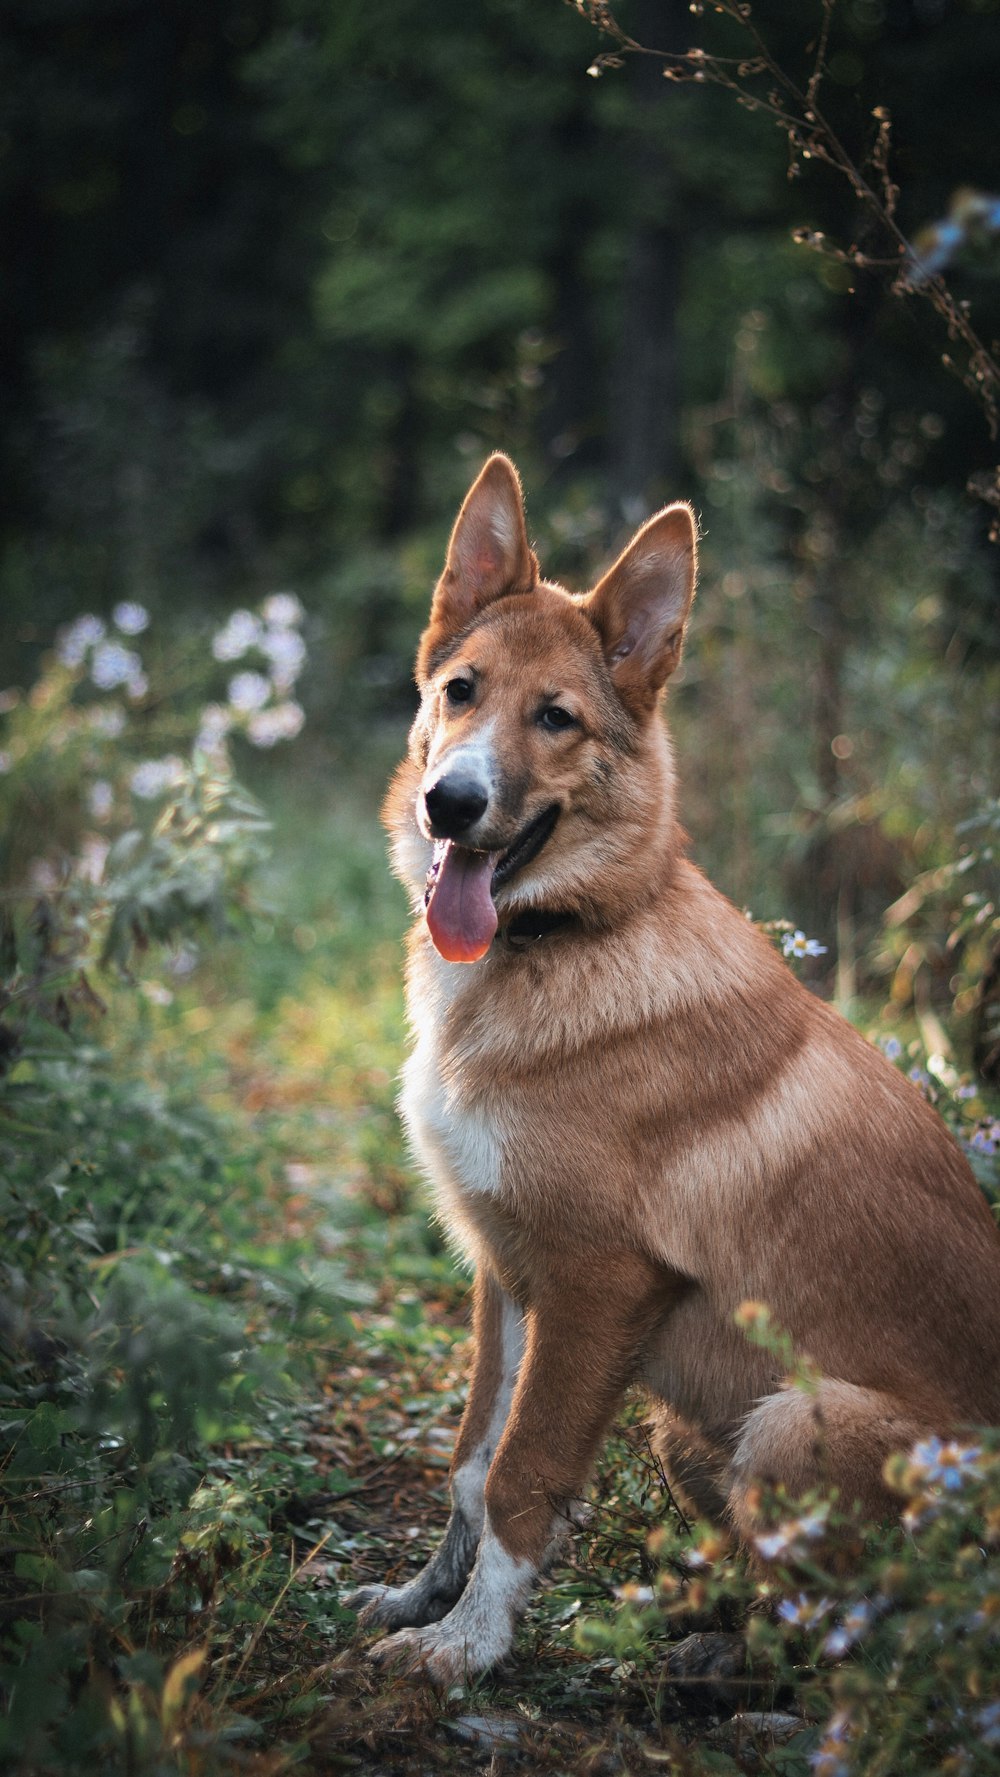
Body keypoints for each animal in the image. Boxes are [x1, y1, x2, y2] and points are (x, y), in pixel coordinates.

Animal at [349, 454, 1000, 1677]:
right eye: (459, 690)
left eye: (554, 718)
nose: (449, 803)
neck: (561, 942)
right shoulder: (509, 1272)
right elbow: (469, 1461)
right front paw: (424, 1599)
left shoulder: (598, 1282)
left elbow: (521, 1478)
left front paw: (468, 1649)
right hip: (689, 1431)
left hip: (790, 1420)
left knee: (883, 1637)